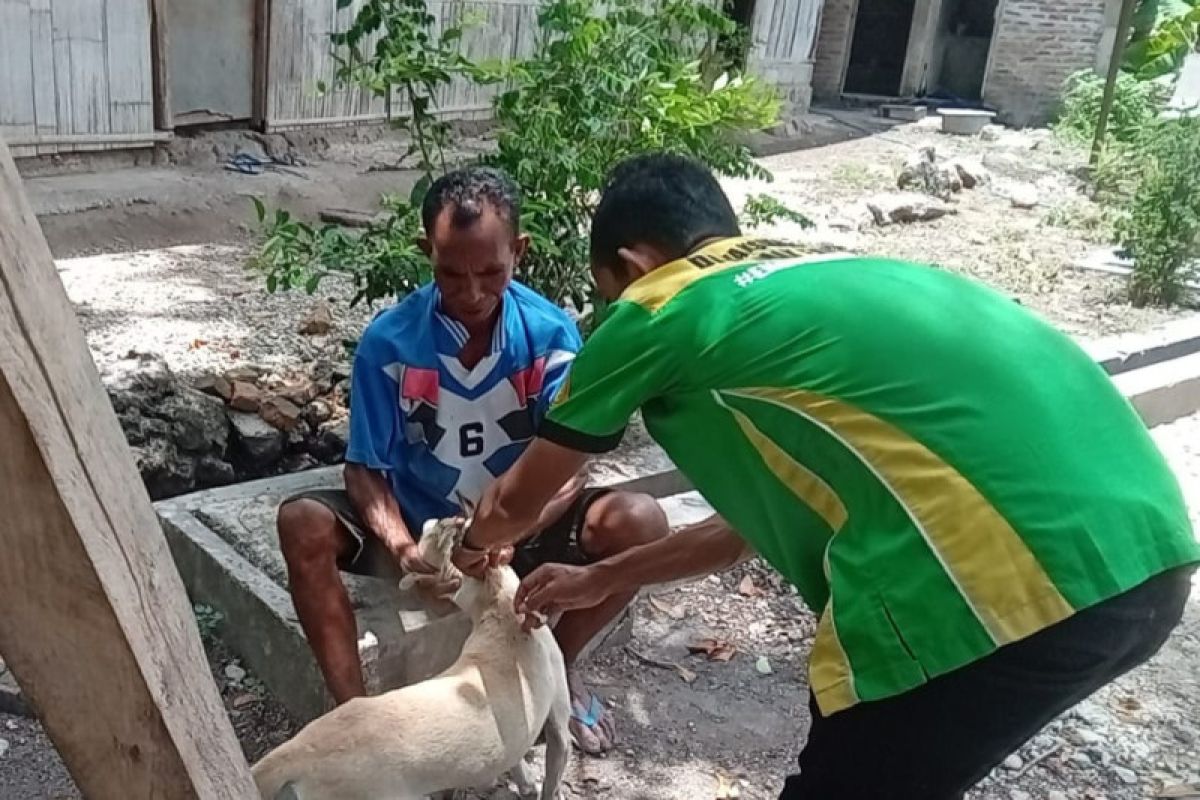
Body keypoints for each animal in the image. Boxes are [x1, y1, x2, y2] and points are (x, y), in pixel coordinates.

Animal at [250, 520, 573, 800]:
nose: (445, 519)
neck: (499, 610)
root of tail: (300, 748)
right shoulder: (559, 721)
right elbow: (553, 772)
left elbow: (515, 757)